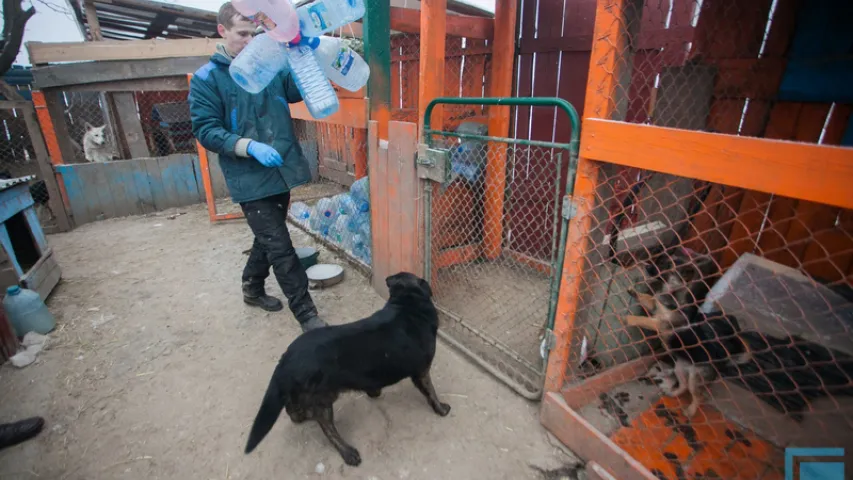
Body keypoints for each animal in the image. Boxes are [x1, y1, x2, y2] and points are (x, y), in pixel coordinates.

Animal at [243, 272, 450, 466]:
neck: (406, 306)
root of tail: (288, 357)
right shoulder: (422, 371)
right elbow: (431, 393)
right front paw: (441, 409)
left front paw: (374, 392)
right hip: (324, 399)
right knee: (326, 427)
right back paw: (348, 452)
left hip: (304, 394)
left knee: (292, 409)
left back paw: (300, 417)